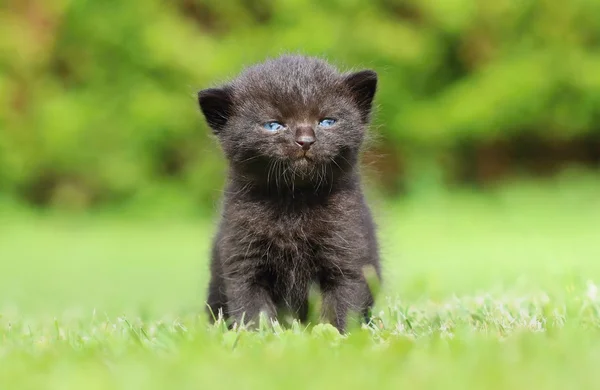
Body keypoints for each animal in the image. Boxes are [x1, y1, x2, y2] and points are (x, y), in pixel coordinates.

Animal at [199, 54, 382, 332]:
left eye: (327, 121)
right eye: (273, 125)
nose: (306, 140)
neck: (293, 201)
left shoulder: (348, 256)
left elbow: (343, 305)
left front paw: (340, 335)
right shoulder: (243, 261)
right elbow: (252, 308)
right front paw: (257, 335)